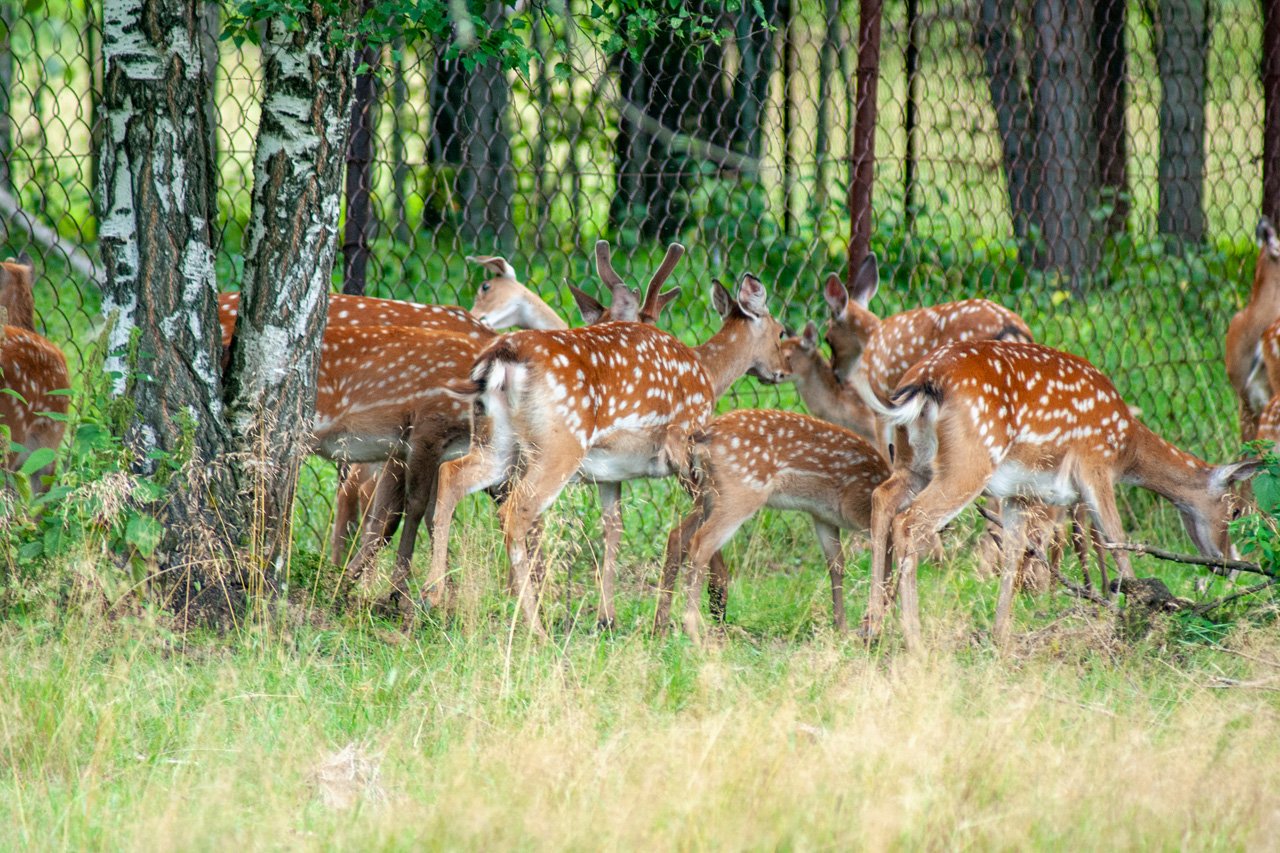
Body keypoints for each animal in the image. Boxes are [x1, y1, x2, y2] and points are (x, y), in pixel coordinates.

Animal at [430, 262, 788, 635]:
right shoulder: (683, 442)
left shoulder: (609, 473)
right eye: (781, 332)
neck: (708, 373)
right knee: (514, 513)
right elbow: (690, 526)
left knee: (451, 474)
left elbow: (613, 529)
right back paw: (534, 626)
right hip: (560, 444)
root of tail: (501, 358)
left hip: (496, 441)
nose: (782, 371)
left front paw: (608, 617)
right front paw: (699, 607)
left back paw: (433, 593)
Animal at [855, 335, 1254, 648]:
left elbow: (1014, 552)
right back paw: (913, 639)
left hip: (913, 462)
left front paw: (1000, 635)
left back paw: (872, 627)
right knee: (910, 521)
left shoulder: (1019, 492)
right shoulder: (1095, 466)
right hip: (970, 459)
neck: (1127, 447)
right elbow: (1117, 540)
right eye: (1235, 511)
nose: (1227, 564)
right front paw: (1135, 618)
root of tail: (924, 380)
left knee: (882, 499)